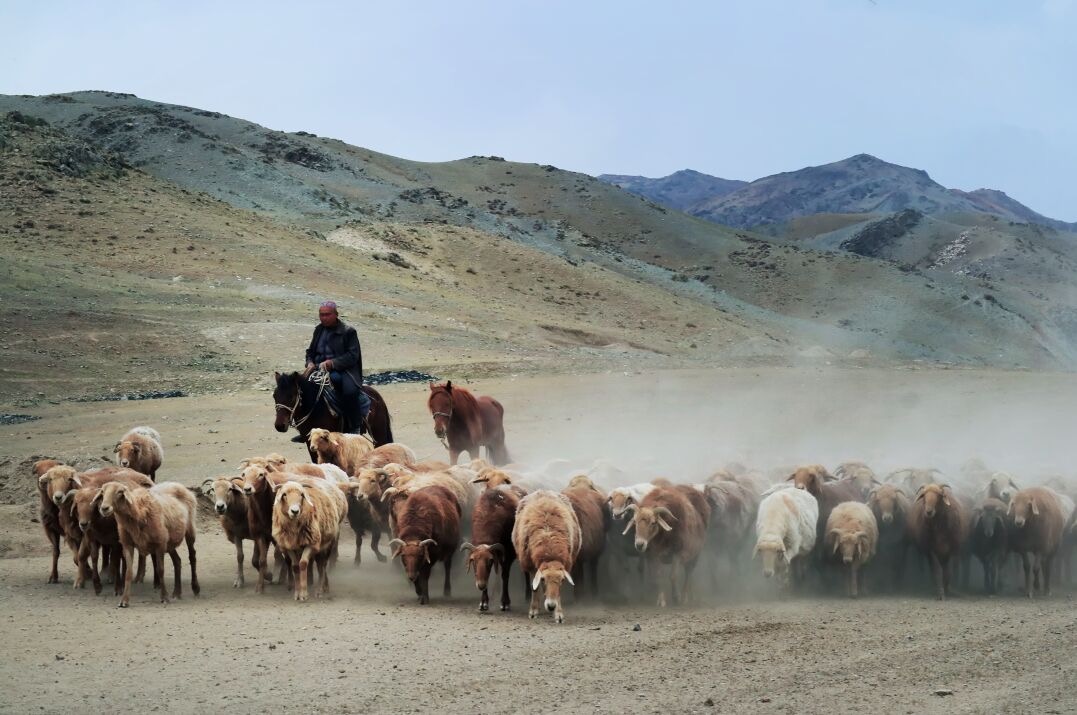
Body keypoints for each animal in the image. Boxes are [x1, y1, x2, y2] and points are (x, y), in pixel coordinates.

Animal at [510, 488, 581, 624]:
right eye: (543, 579)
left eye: (562, 580)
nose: (551, 606)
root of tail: (543, 490)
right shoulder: (532, 565)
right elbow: (534, 587)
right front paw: (533, 611)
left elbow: (558, 593)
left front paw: (558, 613)